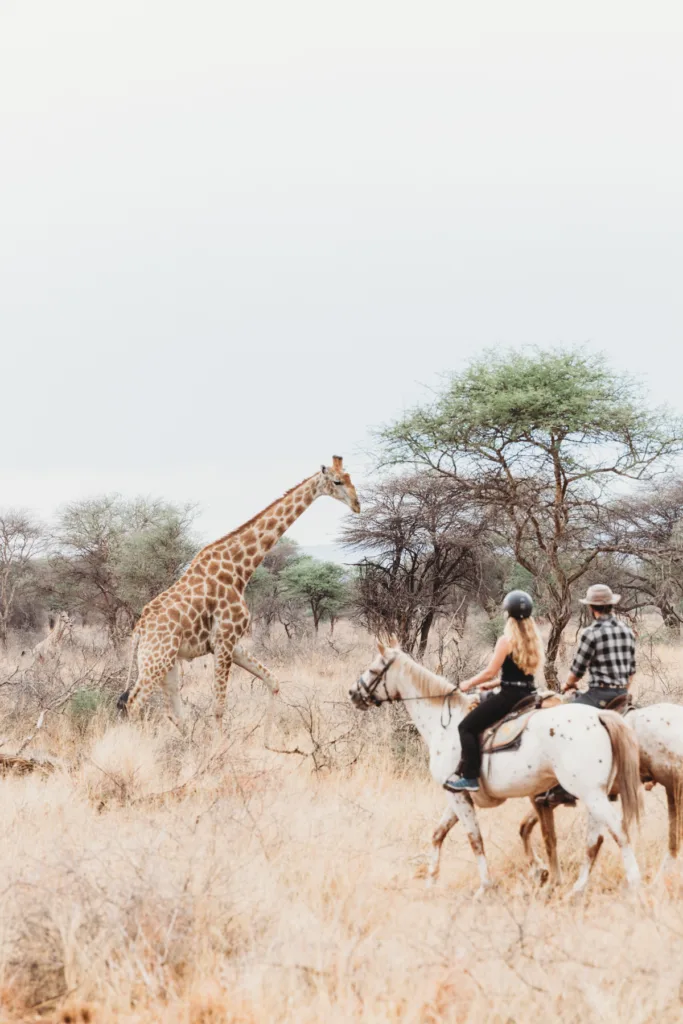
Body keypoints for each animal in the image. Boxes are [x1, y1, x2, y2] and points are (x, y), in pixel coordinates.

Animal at [117, 456, 360, 729]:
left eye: (350, 478)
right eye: (337, 481)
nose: (357, 504)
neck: (239, 569)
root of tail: (139, 631)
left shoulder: (233, 643)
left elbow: (273, 681)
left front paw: (267, 735)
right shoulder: (223, 640)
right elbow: (219, 707)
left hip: (166, 660)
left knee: (174, 712)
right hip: (156, 659)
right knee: (134, 702)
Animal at [350, 643, 643, 892]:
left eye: (374, 669)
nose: (354, 693)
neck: (444, 724)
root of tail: (600, 715)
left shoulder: (457, 794)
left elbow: (475, 839)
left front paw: (485, 886)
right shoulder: (459, 793)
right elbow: (438, 833)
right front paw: (431, 881)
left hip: (590, 794)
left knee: (619, 832)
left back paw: (633, 885)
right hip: (595, 796)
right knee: (596, 840)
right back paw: (578, 888)